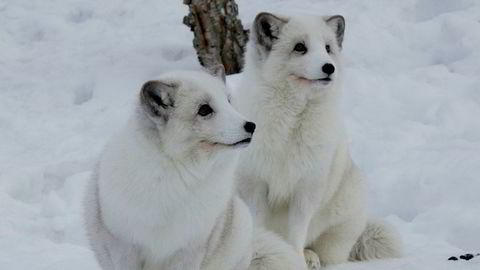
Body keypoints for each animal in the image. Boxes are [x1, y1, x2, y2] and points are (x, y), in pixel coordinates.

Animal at [84, 68, 306, 270]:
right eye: (204, 110)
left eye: (228, 101)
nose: (251, 126)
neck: (178, 174)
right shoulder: (123, 247)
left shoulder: (190, 249)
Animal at [232, 12, 402, 268]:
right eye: (300, 47)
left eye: (328, 48)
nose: (329, 67)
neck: (290, 122)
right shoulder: (255, 185)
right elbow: (259, 227)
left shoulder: (306, 188)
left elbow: (296, 234)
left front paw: (295, 260)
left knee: (324, 252)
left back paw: (311, 258)